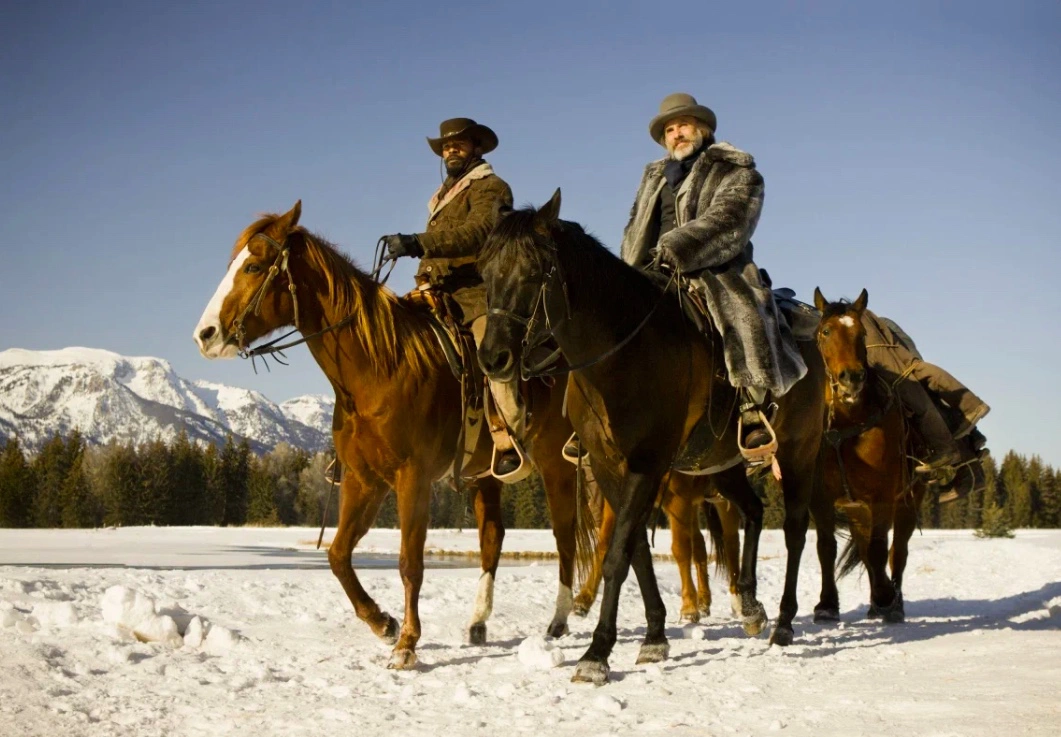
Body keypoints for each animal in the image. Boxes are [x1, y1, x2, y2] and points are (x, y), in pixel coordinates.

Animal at [195, 201, 594, 670]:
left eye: (255, 265)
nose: (204, 335)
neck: (379, 368)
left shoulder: (411, 478)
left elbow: (409, 562)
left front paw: (406, 643)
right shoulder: (362, 480)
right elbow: (337, 555)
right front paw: (381, 623)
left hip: (556, 462)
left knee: (565, 535)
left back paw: (559, 619)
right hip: (486, 477)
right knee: (493, 538)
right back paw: (478, 622)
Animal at [475, 188, 827, 678]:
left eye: (533, 272)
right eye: (485, 272)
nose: (493, 358)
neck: (620, 355)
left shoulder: (647, 463)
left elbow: (618, 554)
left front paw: (597, 654)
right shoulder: (610, 466)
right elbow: (636, 550)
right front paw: (655, 637)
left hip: (798, 453)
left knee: (794, 531)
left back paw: (784, 623)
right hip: (722, 465)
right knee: (754, 511)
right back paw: (751, 604)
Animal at [814, 288, 925, 623]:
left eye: (862, 334)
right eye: (825, 332)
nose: (851, 378)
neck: (848, 426)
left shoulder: (883, 496)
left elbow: (879, 549)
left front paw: (886, 596)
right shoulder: (820, 497)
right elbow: (826, 547)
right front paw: (826, 604)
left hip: (907, 501)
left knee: (896, 552)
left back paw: (892, 603)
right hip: (857, 510)